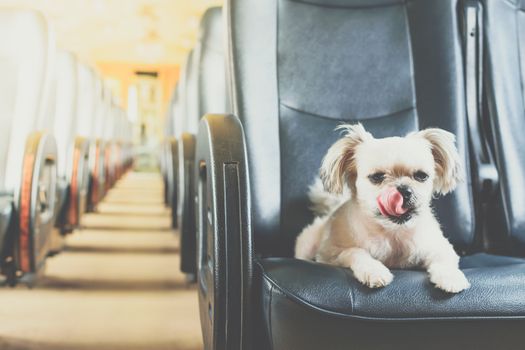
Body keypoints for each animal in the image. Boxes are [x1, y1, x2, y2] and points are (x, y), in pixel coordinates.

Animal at [294, 123, 470, 292]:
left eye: (421, 176)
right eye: (377, 177)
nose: (404, 190)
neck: (392, 233)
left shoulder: (440, 248)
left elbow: (444, 261)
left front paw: (451, 277)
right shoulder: (330, 254)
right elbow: (356, 251)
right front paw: (373, 271)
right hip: (307, 246)